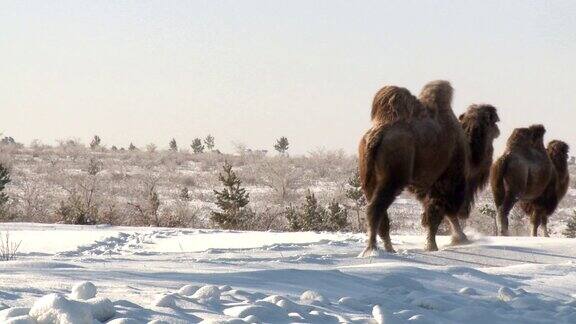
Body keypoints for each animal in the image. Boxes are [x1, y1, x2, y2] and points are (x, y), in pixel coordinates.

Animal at [360, 80, 500, 253]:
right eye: (492, 121)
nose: (498, 130)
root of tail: (376, 136)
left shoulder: (426, 186)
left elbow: (440, 214)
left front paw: (457, 240)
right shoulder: (446, 182)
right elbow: (438, 213)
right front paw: (435, 245)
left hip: (369, 180)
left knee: (378, 212)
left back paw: (388, 248)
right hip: (393, 179)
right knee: (375, 209)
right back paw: (372, 249)